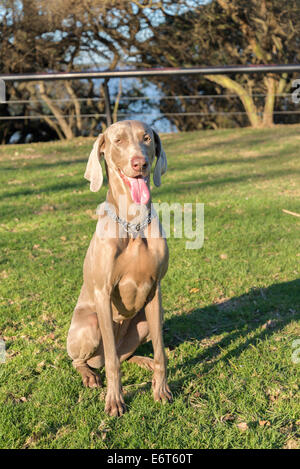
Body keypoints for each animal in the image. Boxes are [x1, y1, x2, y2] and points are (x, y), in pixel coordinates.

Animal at [67, 119, 172, 414]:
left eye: (147, 138)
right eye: (118, 141)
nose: (140, 163)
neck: (133, 223)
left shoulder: (155, 290)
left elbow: (160, 352)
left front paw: (161, 389)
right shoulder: (103, 292)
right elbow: (114, 364)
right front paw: (115, 400)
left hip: (144, 322)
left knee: (125, 354)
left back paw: (144, 362)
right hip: (90, 325)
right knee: (89, 360)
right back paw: (90, 375)